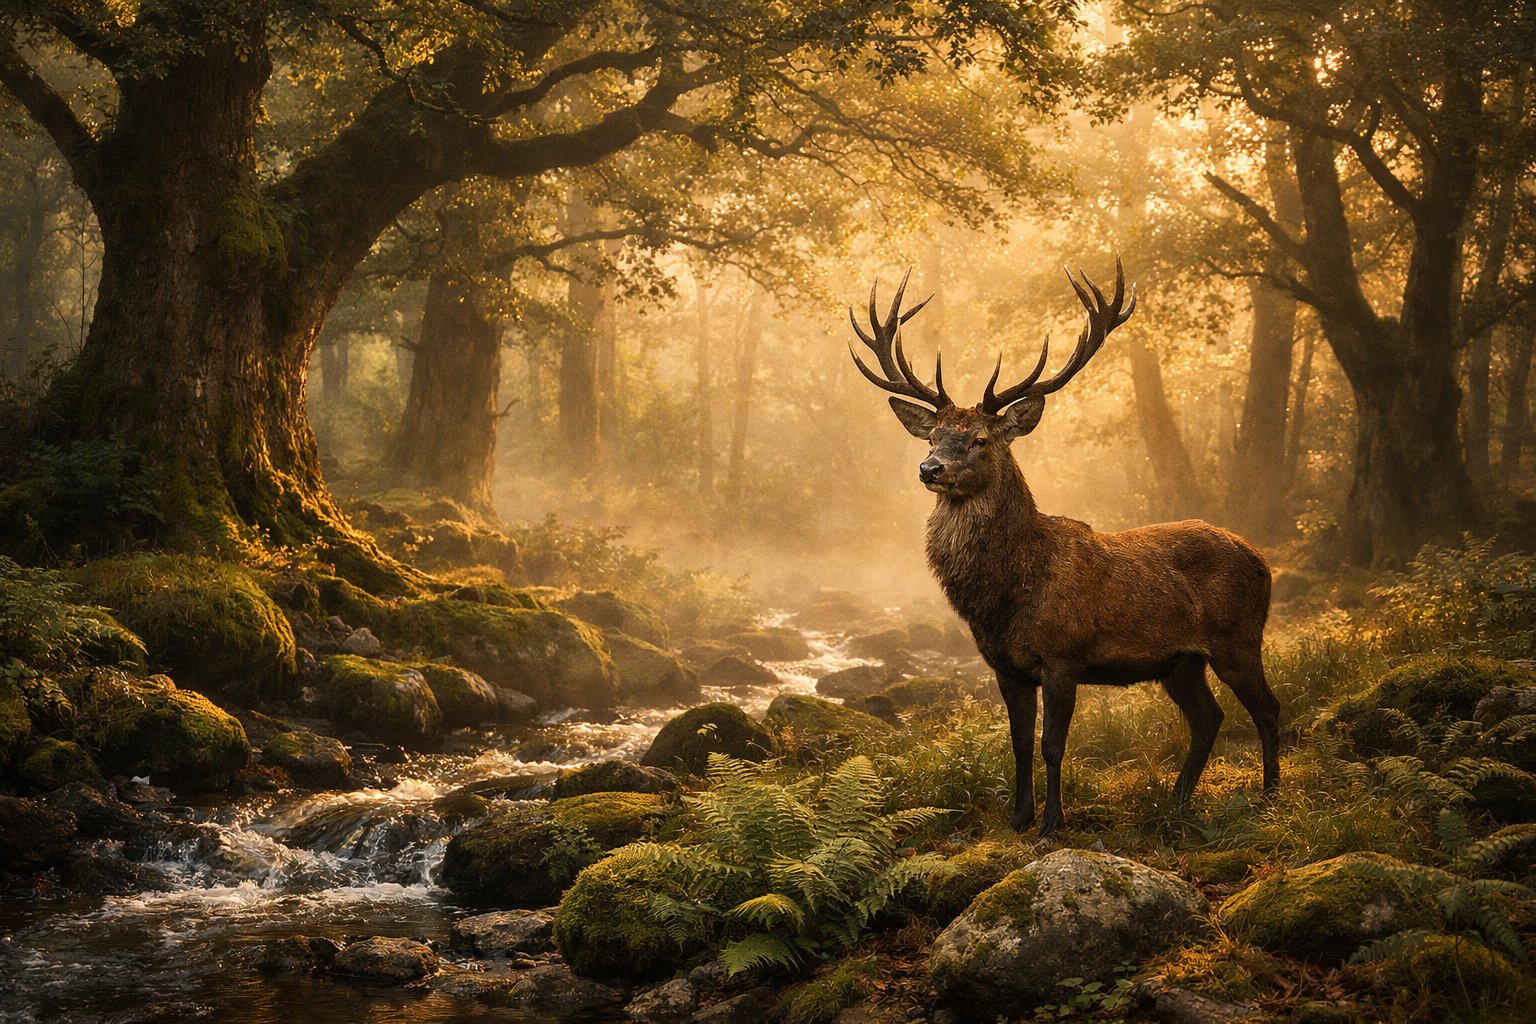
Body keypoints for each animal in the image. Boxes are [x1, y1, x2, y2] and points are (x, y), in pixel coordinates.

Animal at [849, 260, 1280, 836]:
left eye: (981, 439)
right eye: (933, 435)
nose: (930, 468)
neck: (1008, 593)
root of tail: (1262, 559)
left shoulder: (1063, 656)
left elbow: (1053, 745)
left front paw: (1052, 822)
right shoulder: (1006, 667)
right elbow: (1018, 745)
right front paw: (1018, 817)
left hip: (1239, 638)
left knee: (1267, 708)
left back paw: (1270, 795)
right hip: (1181, 662)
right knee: (1209, 717)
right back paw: (1176, 800)